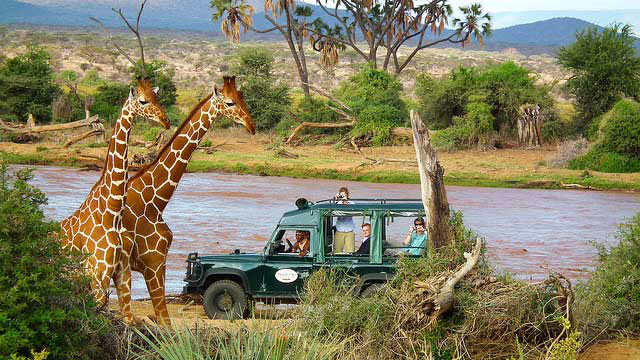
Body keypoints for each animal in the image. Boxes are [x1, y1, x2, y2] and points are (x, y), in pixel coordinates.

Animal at [60, 78, 169, 320]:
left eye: (157, 97)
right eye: (143, 101)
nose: (165, 121)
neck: (112, 211)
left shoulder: (120, 271)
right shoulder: (97, 274)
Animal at [117, 76, 255, 324]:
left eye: (242, 97)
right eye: (230, 102)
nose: (252, 126)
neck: (154, 201)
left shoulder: (155, 264)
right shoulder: (153, 262)